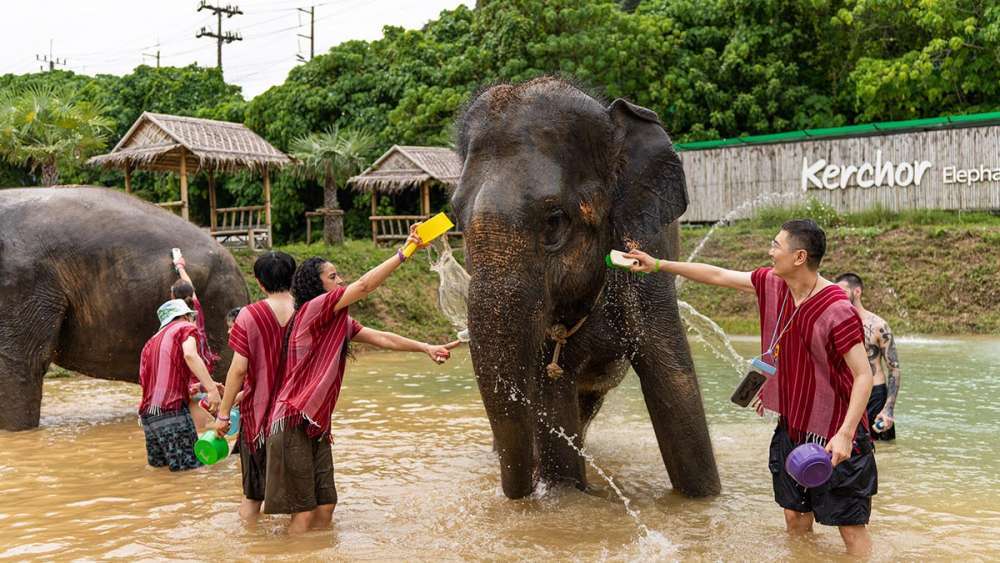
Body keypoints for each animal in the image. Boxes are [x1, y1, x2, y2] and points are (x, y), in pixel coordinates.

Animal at [452, 77, 720, 500]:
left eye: (554, 221)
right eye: (456, 219)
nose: (521, 492)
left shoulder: (648, 245)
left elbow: (674, 379)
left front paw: (704, 498)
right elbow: (551, 391)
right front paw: (564, 491)